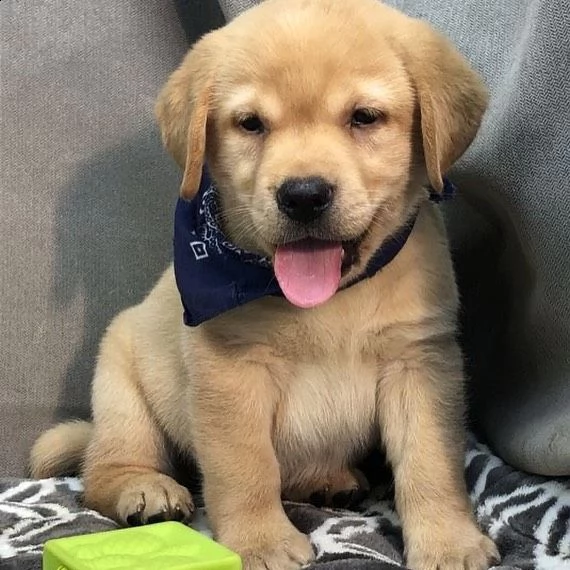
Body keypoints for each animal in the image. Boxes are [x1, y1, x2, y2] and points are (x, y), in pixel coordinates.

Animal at [33, 0, 500, 564]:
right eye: (251, 124)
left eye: (364, 117)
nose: (303, 195)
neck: (331, 302)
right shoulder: (229, 371)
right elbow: (246, 467)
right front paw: (260, 542)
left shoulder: (421, 362)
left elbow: (431, 462)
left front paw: (449, 542)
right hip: (121, 385)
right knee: (104, 468)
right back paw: (145, 489)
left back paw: (325, 478)